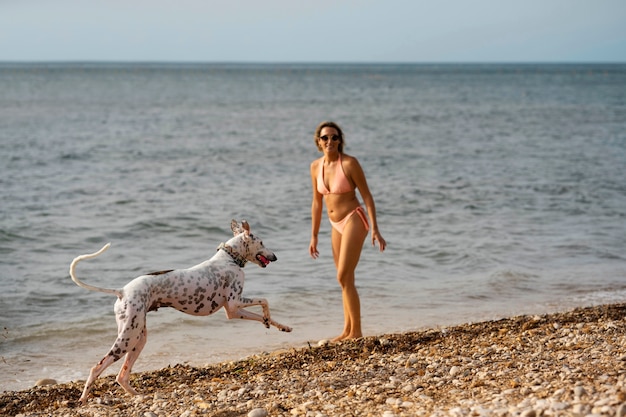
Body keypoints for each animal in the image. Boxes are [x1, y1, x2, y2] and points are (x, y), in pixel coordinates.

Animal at [69, 219, 292, 402]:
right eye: (262, 242)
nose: (276, 257)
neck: (228, 258)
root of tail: (122, 291)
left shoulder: (234, 311)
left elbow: (265, 312)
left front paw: (280, 326)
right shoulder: (234, 306)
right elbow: (264, 301)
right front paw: (268, 319)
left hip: (138, 337)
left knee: (121, 376)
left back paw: (138, 396)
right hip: (128, 338)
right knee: (97, 367)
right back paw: (83, 398)